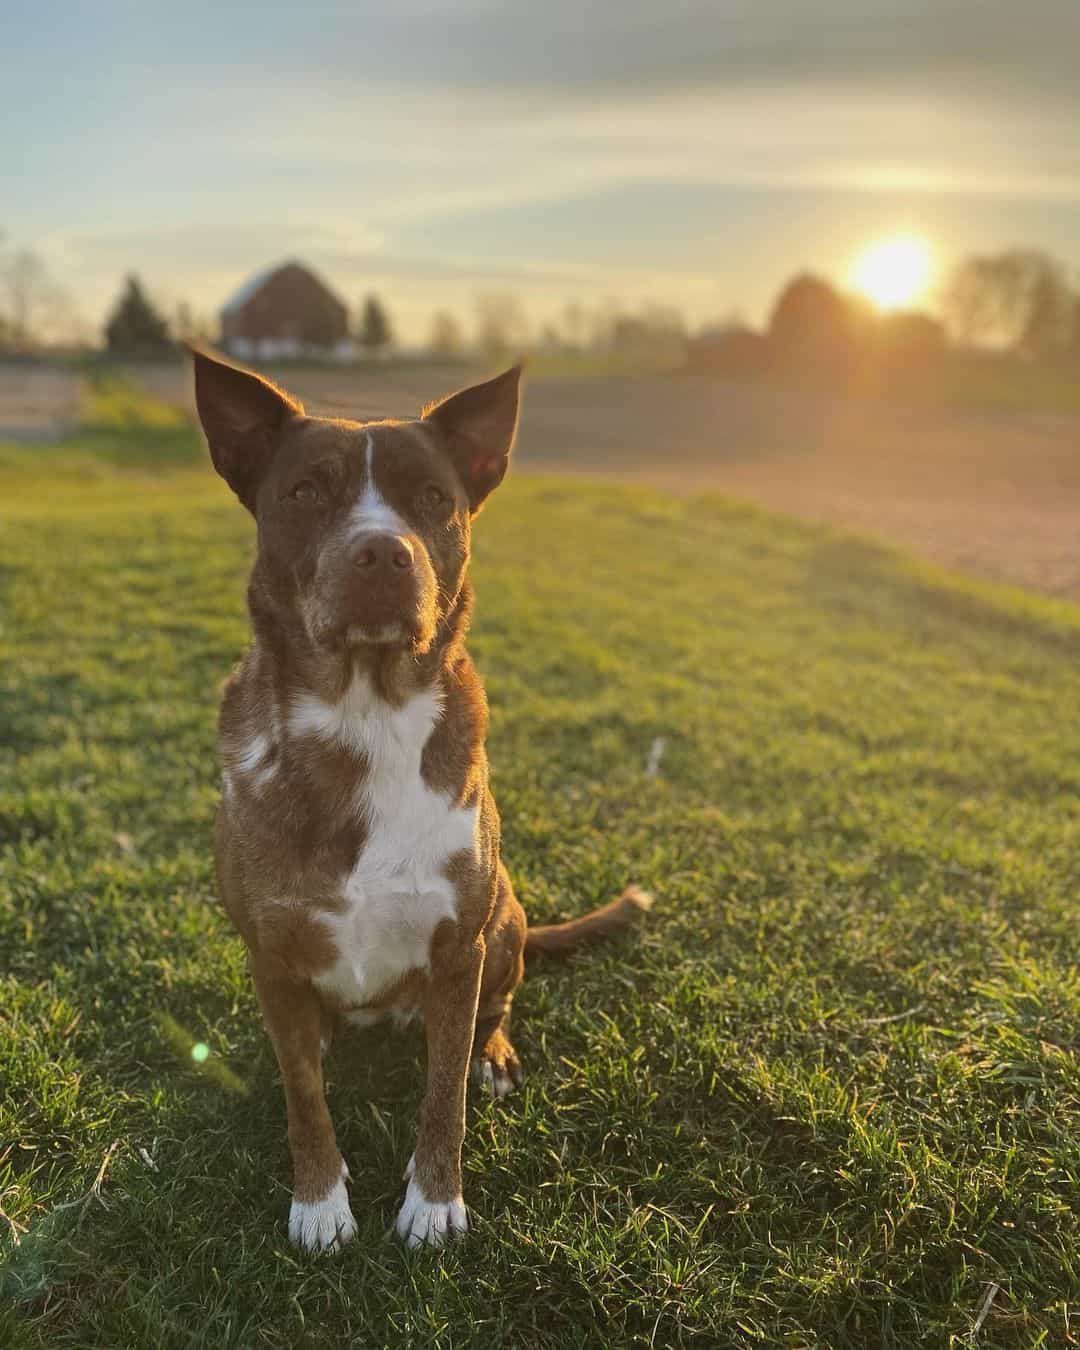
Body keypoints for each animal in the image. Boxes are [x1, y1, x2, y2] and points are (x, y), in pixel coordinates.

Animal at [190, 351, 650, 1252]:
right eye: (306, 490)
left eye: (434, 498)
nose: (382, 555)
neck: (365, 714)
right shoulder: (270, 953)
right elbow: (303, 1096)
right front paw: (320, 1201)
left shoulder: (457, 946)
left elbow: (444, 1093)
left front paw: (435, 1202)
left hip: (503, 915)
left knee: (495, 1006)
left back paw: (494, 1055)